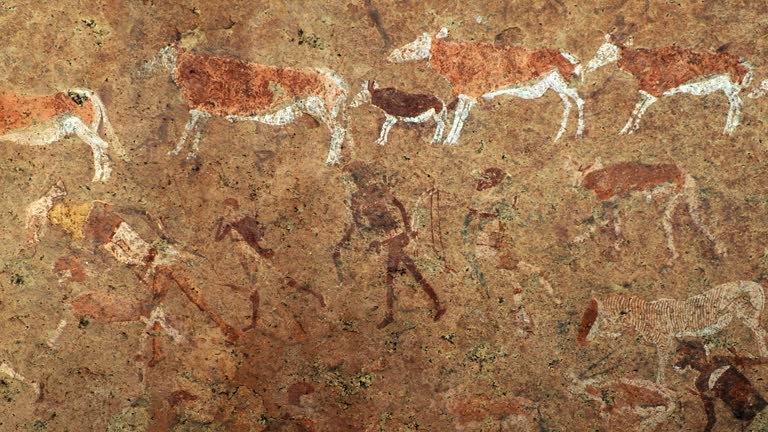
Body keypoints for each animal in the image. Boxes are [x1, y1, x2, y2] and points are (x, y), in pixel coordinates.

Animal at [142, 44, 350, 165]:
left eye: (160, 55)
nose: (142, 68)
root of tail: (337, 80)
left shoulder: (196, 109)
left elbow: (187, 131)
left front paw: (175, 151)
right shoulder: (204, 113)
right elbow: (197, 133)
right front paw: (191, 155)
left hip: (320, 108)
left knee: (338, 131)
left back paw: (331, 161)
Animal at [388, 27, 584, 145]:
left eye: (418, 43)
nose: (392, 55)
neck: (454, 63)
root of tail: (570, 56)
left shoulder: (469, 94)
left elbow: (460, 116)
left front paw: (450, 141)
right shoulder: (467, 96)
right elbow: (460, 115)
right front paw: (451, 140)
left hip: (560, 83)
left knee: (578, 100)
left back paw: (578, 133)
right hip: (555, 86)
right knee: (567, 103)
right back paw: (559, 136)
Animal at [568, 159, 728, 264]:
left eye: (581, 173)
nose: (575, 186)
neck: (603, 175)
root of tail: (686, 174)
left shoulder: (617, 202)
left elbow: (604, 222)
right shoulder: (615, 205)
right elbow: (609, 223)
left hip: (673, 200)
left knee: (668, 221)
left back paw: (674, 256)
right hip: (690, 205)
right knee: (700, 224)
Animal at [576, 282, 768, 384]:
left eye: (603, 319)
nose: (586, 339)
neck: (644, 316)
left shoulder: (664, 342)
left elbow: (661, 363)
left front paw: (660, 384)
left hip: (745, 316)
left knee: (759, 330)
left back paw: (762, 354)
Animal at [584, 34, 752, 134]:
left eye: (607, 52)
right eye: (599, 50)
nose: (588, 67)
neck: (642, 65)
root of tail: (747, 66)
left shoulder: (655, 94)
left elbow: (637, 109)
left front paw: (628, 130)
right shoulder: (646, 92)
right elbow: (636, 109)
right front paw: (627, 131)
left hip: (731, 89)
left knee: (737, 105)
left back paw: (728, 130)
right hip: (728, 90)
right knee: (737, 104)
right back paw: (730, 130)